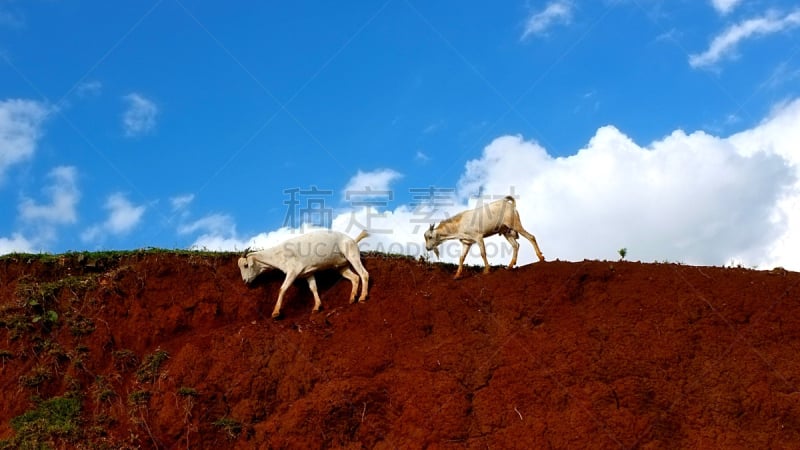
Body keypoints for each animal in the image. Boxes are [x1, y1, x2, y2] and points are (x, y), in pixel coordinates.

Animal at [239, 230, 370, 318]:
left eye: (245, 265)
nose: (245, 281)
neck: (279, 254)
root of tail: (353, 240)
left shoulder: (293, 271)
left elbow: (282, 289)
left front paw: (275, 312)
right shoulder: (308, 273)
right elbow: (313, 288)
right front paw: (316, 307)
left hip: (352, 255)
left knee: (364, 274)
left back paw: (362, 297)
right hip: (342, 266)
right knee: (355, 278)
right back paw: (352, 297)